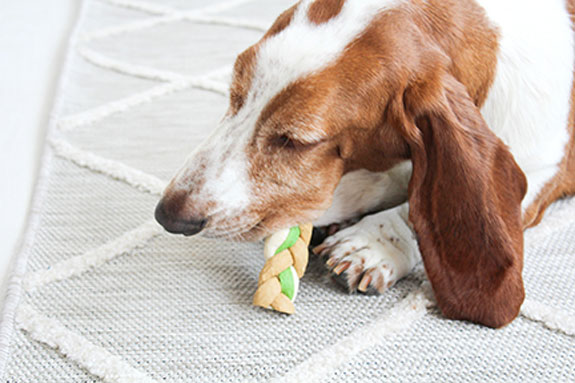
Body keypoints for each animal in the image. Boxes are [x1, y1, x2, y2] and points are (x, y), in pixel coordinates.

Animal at [154, 0, 575, 330]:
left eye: (295, 140)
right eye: (235, 96)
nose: (167, 215)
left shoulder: (542, 172)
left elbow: (415, 209)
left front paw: (371, 243)